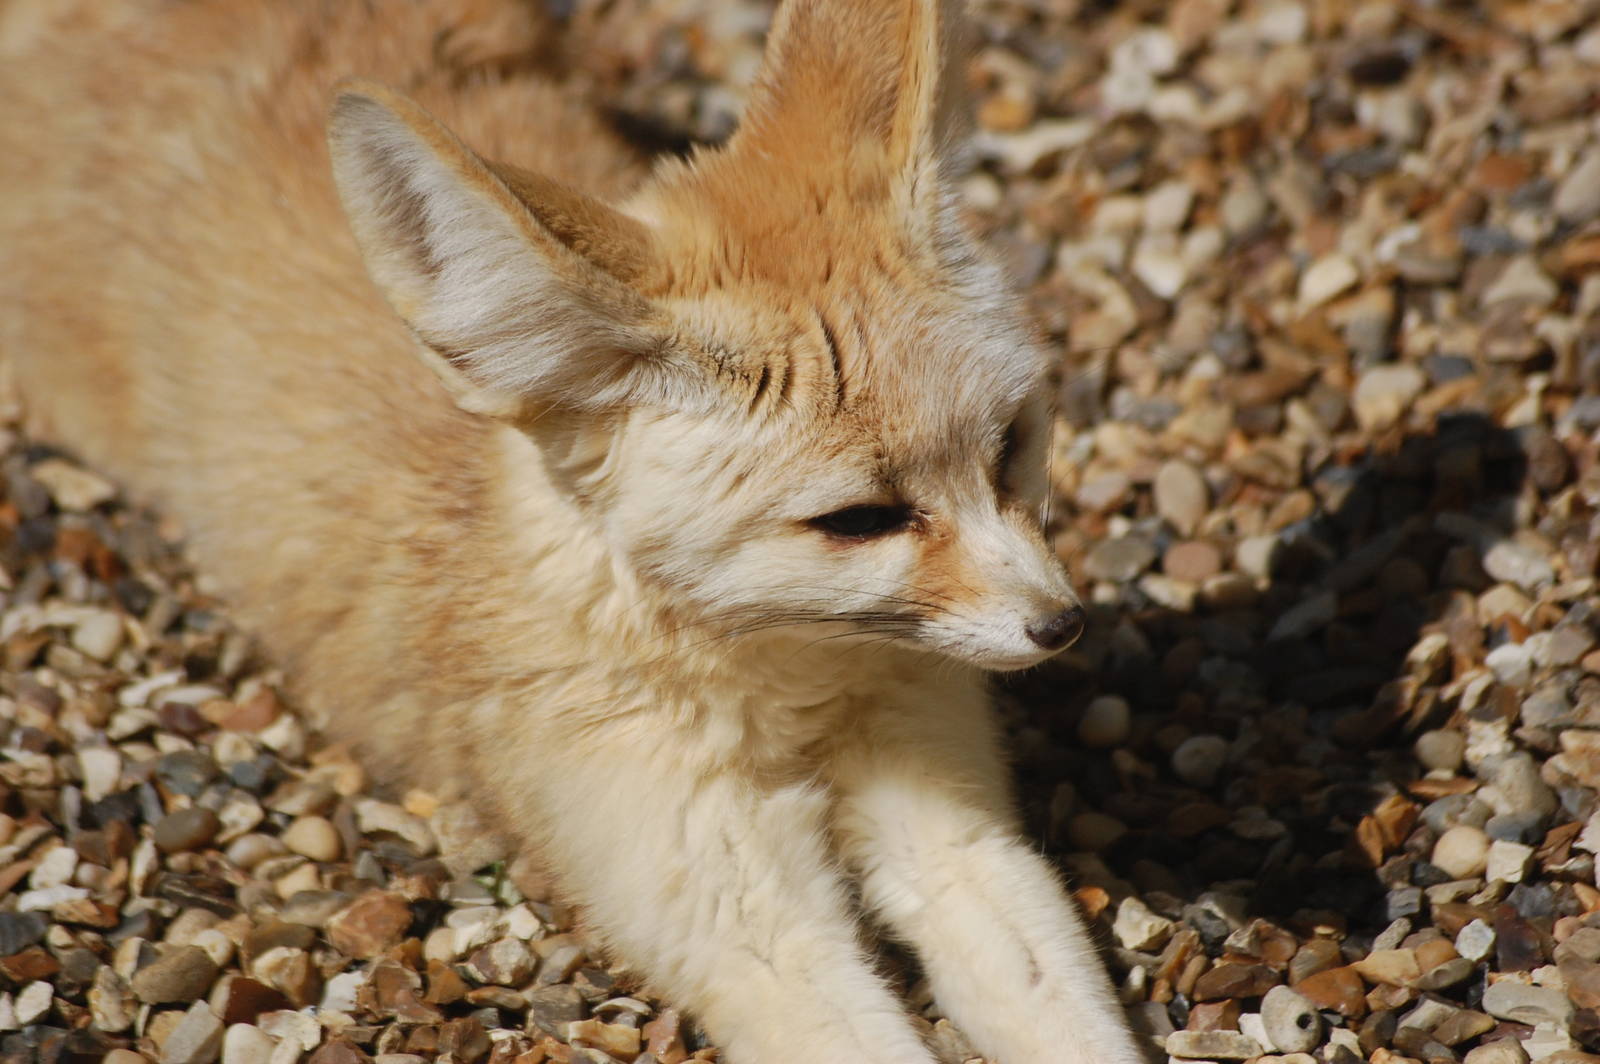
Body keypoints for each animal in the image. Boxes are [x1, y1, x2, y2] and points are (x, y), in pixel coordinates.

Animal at [0, 1, 1149, 1061]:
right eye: (861, 520)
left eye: (1011, 446)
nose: (1061, 624)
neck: (791, 700)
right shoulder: (735, 917)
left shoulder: (956, 828)